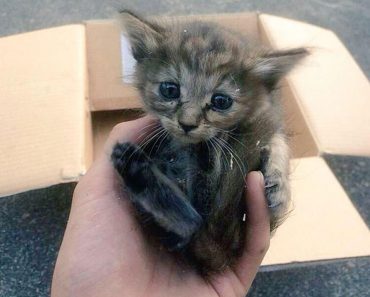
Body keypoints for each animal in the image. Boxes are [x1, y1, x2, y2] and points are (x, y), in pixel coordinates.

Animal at [111, 11, 308, 276]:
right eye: (169, 89)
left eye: (221, 101)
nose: (187, 124)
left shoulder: (268, 120)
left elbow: (278, 142)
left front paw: (279, 189)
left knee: (192, 227)